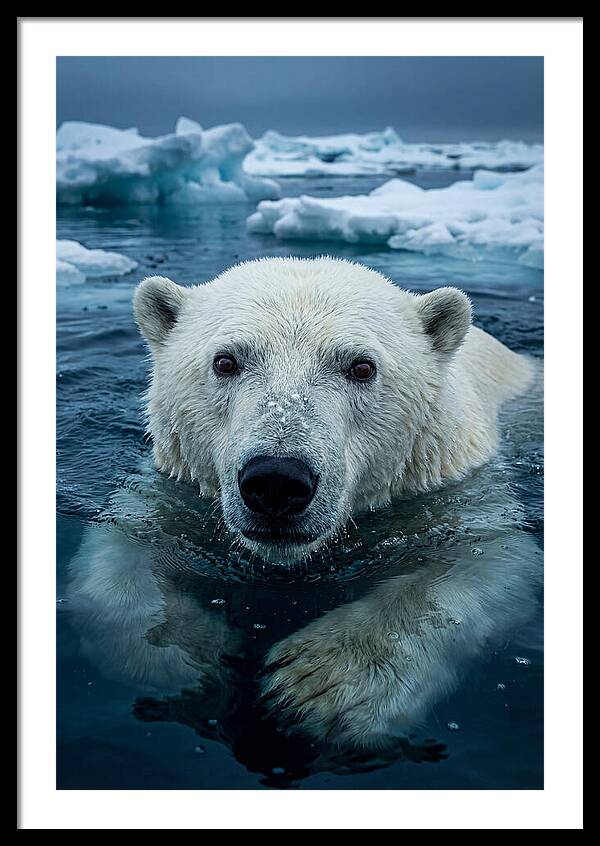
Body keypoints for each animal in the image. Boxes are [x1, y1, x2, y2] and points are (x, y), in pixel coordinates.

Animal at [65, 257, 541, 766]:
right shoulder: (172, 491)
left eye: (361, 366)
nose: (277, 480)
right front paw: (191, 658)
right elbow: (120, 555)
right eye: (225, 361)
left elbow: (488, 561)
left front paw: (319, 684)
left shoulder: (454, 490)